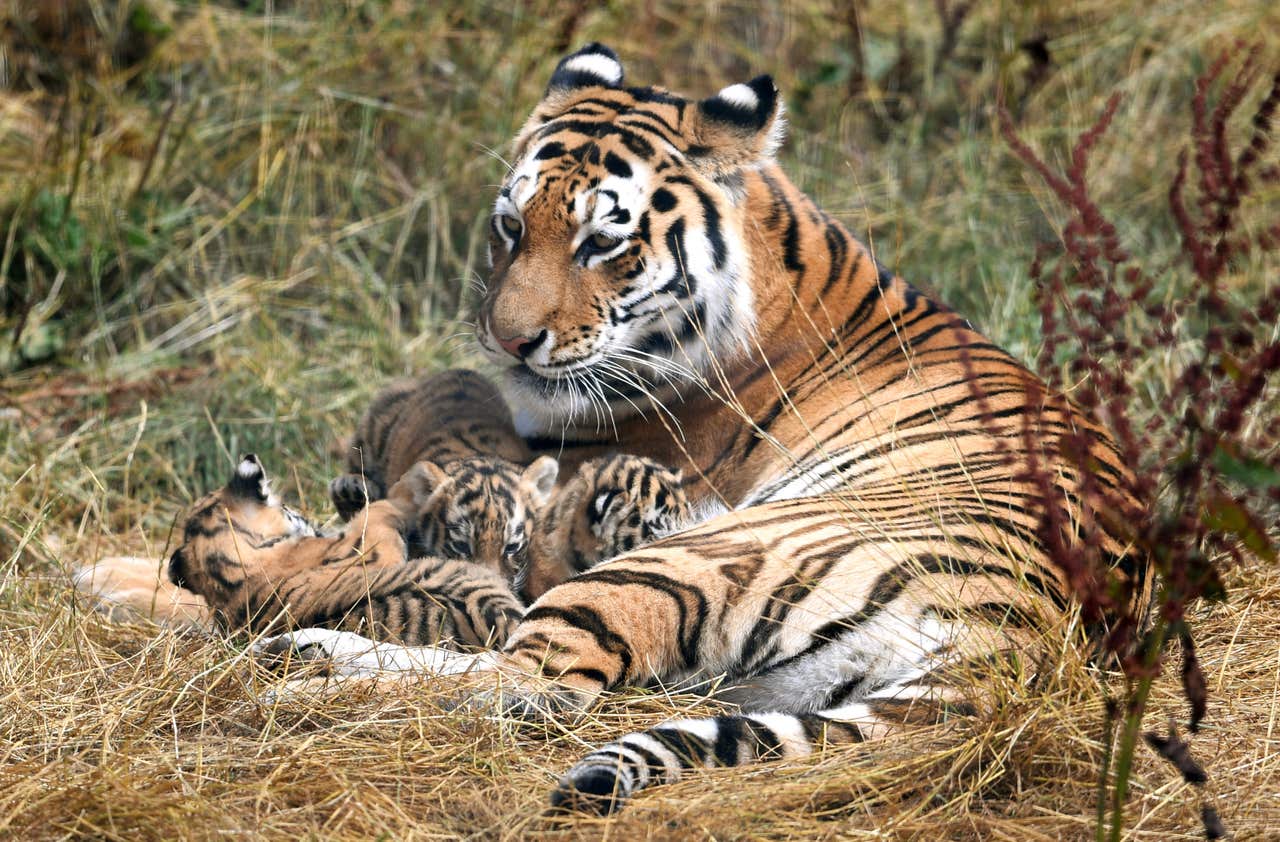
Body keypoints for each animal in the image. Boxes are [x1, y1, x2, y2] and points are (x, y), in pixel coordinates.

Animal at [254, 42, 1146, 808]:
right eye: (513, 225)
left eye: (600, 242)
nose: (507, 340)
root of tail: (1021, 640)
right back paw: (307, 648)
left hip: (683, 556)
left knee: (534, 685)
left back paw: (314, 670)